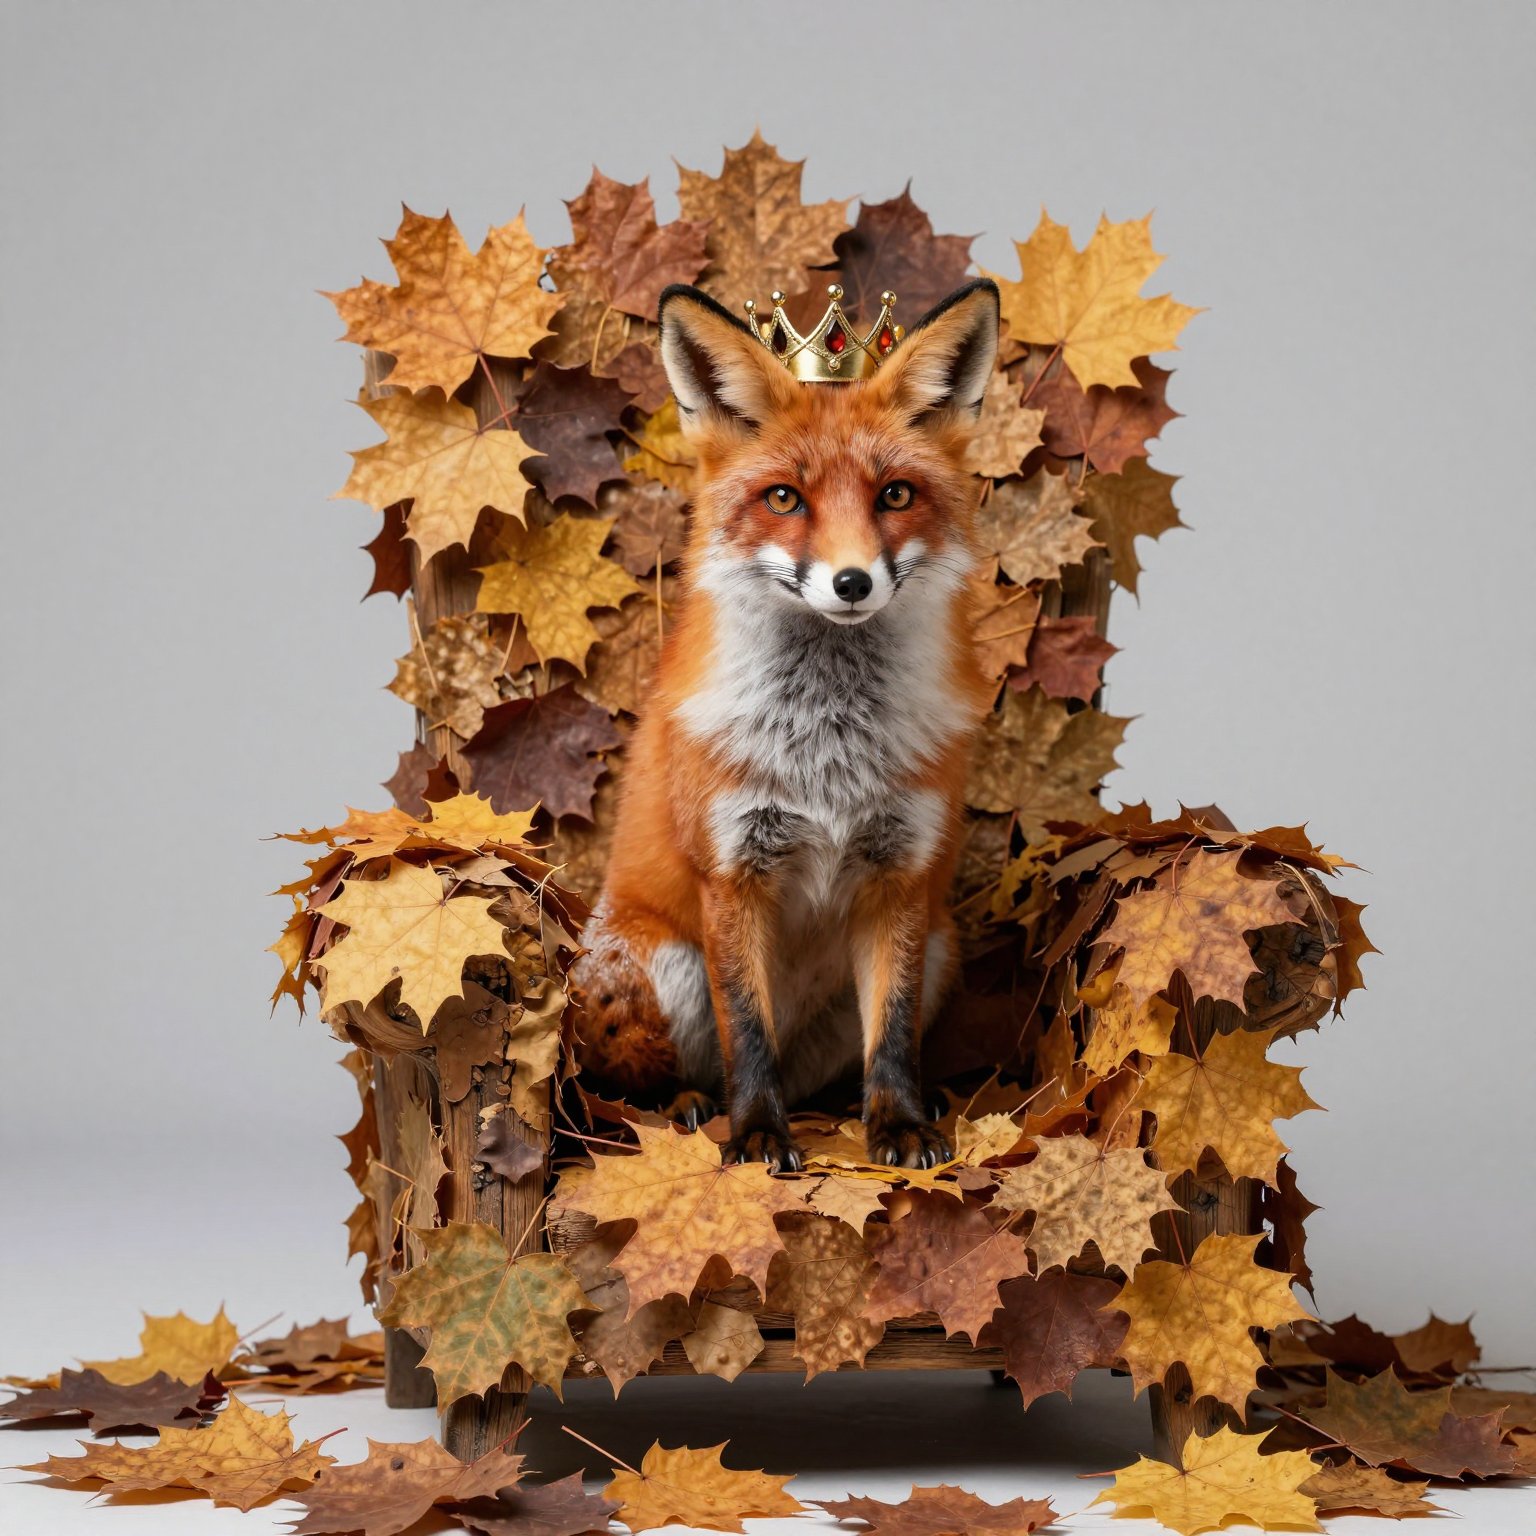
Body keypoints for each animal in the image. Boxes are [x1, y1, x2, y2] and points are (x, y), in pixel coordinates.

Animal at [572, 277, 1001, 1170]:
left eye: (894, 495)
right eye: (784, 499)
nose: (851, 582)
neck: (827, 746)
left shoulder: (902, 875)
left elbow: (892, 1037)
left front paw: (899, 1125)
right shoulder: (733, 873)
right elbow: (748, 1030)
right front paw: (758, 1135)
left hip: (940, 949)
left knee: (830, 1069)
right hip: (659, 967)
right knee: (644, 1087)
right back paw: (693, 1108)